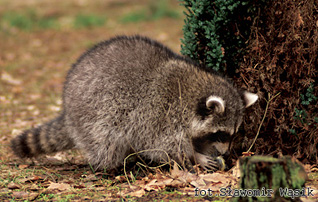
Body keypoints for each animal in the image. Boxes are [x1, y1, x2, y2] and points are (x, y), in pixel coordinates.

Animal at [10, 35, 258, 171]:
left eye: (232, 134)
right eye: (221, 134)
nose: (226, 152)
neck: (193, 91)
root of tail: (68, 110)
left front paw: (203, 152)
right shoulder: (160, 114)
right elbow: (163, 146)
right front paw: (195, 157)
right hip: (94, 113)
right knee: (105, 141)